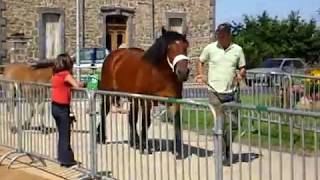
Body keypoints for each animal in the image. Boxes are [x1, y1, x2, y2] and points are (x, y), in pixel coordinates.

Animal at [97, 27, 190, 156]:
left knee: (132, 117)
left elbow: (177, 122)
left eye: (186, 47)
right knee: (104, 111)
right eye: (169, 48)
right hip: (109, 93)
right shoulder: (147, 101)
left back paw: (135, 142)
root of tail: (114, 55)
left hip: (133, 98)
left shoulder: (175, 101)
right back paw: (101, 137)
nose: (183, 72)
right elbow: (146, 122)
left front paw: (178, 150)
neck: (160, 74)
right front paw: (145, 147)